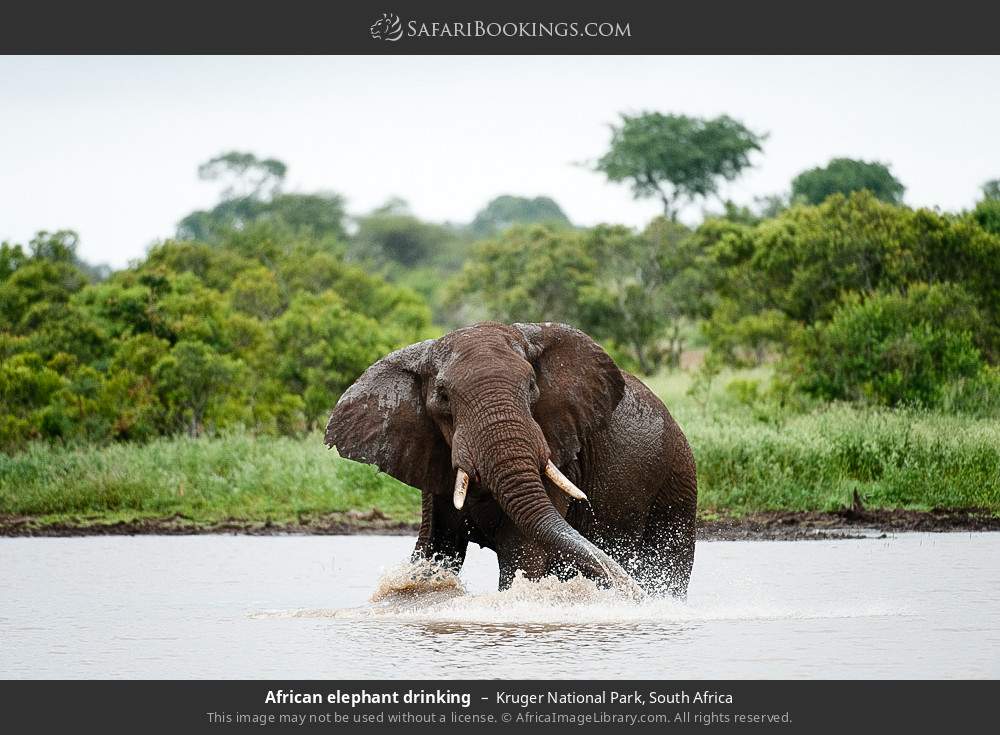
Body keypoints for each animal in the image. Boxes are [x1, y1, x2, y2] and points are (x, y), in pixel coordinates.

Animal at [325, 322, 697, 598]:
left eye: (532, 386)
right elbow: (434, 548)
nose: (633, 593)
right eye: (442, 397)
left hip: (676, 479)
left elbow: (524, 551)